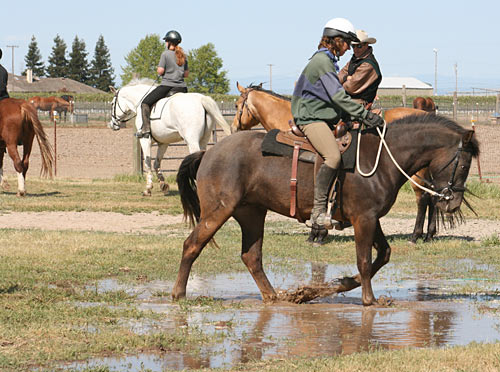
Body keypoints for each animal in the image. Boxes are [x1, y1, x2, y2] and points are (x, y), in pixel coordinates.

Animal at [174, 115, 478, 306]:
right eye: (464, 165)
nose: (452, 203)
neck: (382, 157)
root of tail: (208, 153)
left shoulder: (372, 219)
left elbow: (384, 254)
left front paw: (337, 285)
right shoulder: (364, 219)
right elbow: (365, 260)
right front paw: (369, 300)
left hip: (252, 214)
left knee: (251, 256)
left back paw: (274, 296)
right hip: (218, 212)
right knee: (191, 245)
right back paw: (178, 293)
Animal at [231, 83, 438, 243]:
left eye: (236, 104)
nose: (233, 128)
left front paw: (318, 233)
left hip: (415, 174)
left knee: (423, 199)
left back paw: (416, 235)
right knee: (432, 197)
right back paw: (429, 234)